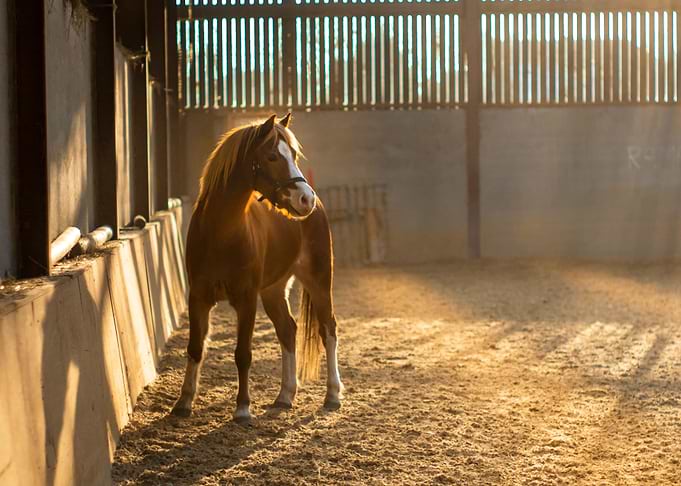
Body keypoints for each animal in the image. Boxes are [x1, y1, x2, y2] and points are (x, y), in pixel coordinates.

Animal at [171, 113, 343, 423]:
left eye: (294, 155)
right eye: (272, 156)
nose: (305, 199)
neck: (221, 232)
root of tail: (319, 207)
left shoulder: (246, 299)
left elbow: (243, 353)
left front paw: (242, 408)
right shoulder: (198, 297)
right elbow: (195, 348)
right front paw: (184, 402)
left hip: (319, 281)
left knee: (328, 329)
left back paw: (333, 395)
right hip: (274, 291)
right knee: (288, 330)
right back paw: (285, 395)